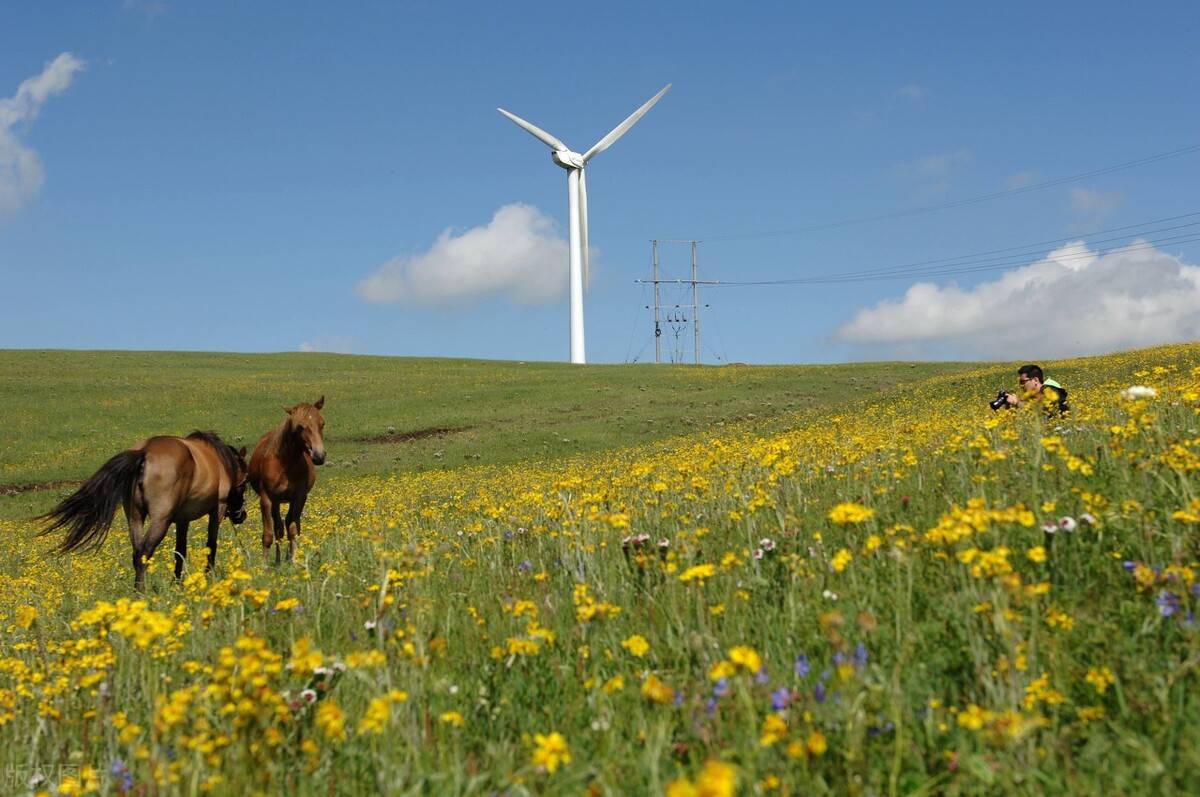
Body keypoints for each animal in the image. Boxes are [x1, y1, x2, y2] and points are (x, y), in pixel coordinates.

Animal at [39, 429, 248, 590]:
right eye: (245, 483)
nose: (241, 516)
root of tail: (144, 452)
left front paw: (177, 584)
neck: (220, 461)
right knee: (145, 552)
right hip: (160, 520)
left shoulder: (182, 519)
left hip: (135, 517)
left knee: (137, 553)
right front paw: (207, 577)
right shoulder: (217, 509)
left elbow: (180, 551)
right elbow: (210, 546)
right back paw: (141, 593)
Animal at [248, 396, 326, 564]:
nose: (319, 456)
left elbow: (293, 529)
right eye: (300, 426)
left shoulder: (299, 497)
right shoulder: (266, 499)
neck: (285, 463)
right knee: (278, 527)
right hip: (276, 502)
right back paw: (278, 561)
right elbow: (268, 534)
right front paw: (264, 566)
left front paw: (294, 561)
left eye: (322, 423)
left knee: (288, 523)